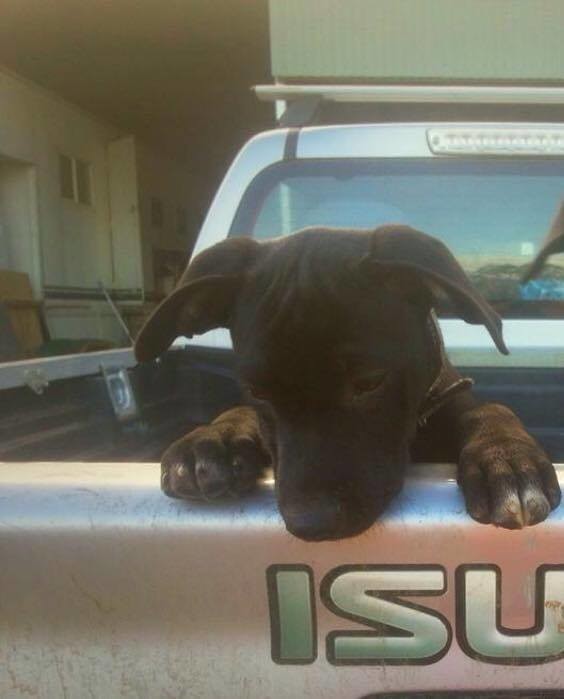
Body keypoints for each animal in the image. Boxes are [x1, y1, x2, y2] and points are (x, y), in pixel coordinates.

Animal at [135, 225, 561, 541]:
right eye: (258, 391)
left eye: (369, 382)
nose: (311, 526)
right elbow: (239, 411)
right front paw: (213, 438)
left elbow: (490, 408)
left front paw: (506, 457)